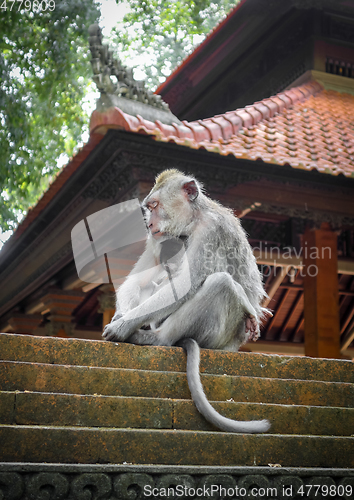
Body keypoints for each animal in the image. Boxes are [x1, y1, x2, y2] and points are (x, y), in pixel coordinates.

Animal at [102, 169, 272, 434]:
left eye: (155, 205)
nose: (149, 224)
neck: (193, 220)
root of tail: (235, 345)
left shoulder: (211, 230)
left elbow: (186, 286)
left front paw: (122, 325)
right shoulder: (158, 240)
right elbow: (138, 280)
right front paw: (122, 316)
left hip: (219, 337)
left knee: (221, 282)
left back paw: (157, 338)